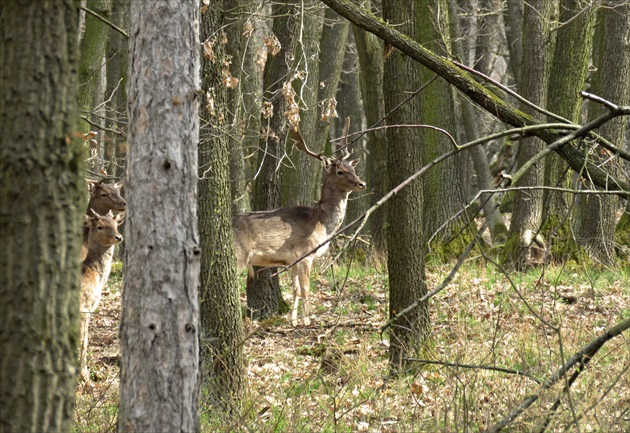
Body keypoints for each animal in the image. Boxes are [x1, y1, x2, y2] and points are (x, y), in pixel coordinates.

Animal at [235, 120, 368, 326]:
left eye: (353, 169)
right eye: (340, 171)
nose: (362, 183)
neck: (322, 224)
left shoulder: (292, 260)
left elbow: (295, 290)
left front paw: (293, 321)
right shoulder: (305, 253)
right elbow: (306, 289)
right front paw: (307, 321)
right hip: (239, 255)